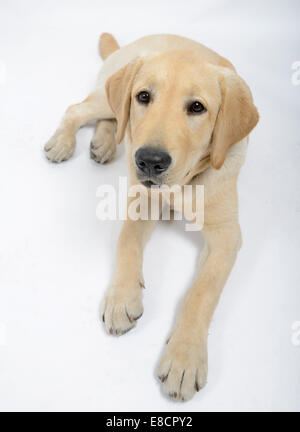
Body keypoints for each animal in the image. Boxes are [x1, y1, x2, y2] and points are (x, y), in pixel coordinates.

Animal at [44, 33, 258, 402]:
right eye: (144, 96)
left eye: (197, 107)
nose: (149, 161)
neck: (183, 183)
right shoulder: (141, 201)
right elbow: (127, 241)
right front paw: (122, 297)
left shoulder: (227, 233)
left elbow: (203, 291)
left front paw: (184, 357)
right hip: (107, 98)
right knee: (84, 109)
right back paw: (65, 141)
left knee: (116, 122)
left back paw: (103, 144)